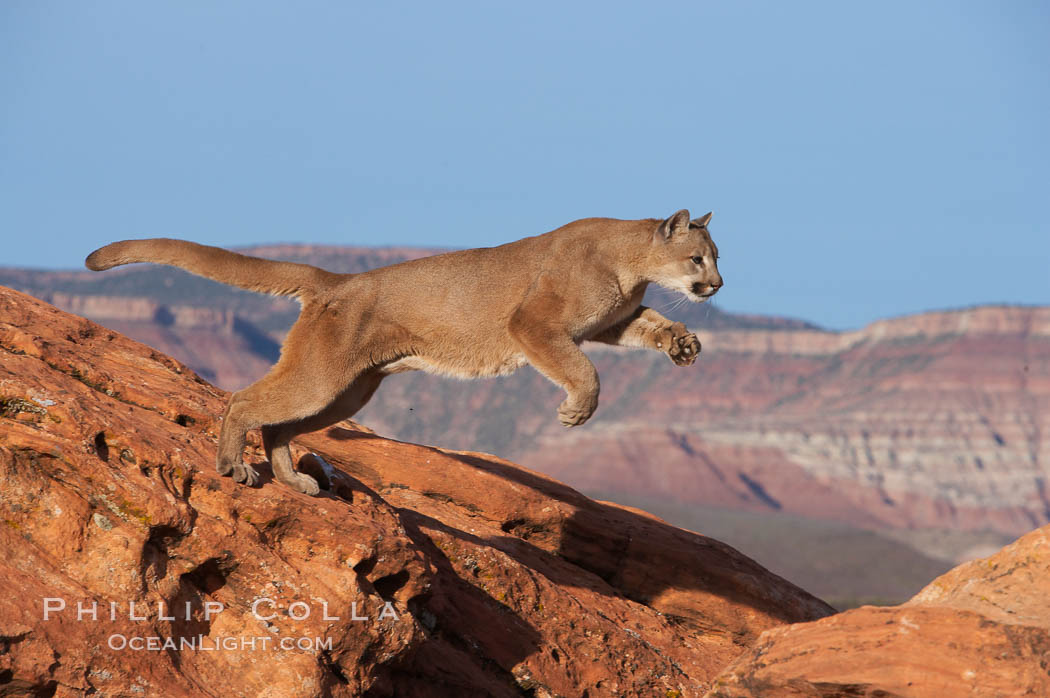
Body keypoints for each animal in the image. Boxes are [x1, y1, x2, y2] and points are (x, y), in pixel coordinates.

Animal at [86, 209, 722, 493]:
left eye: (717, 257)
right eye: (698, 258)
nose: (717, 286)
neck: (630, 263)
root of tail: (338, 281)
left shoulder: (611, 322)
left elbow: (650, 325)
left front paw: (683, 343)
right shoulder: (535, 326)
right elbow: (583, 370)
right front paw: (575, 410)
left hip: (347, 393)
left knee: (280, 425)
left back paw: (293, 480)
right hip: (322, 379)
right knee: (244, 401)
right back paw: (232, 466)